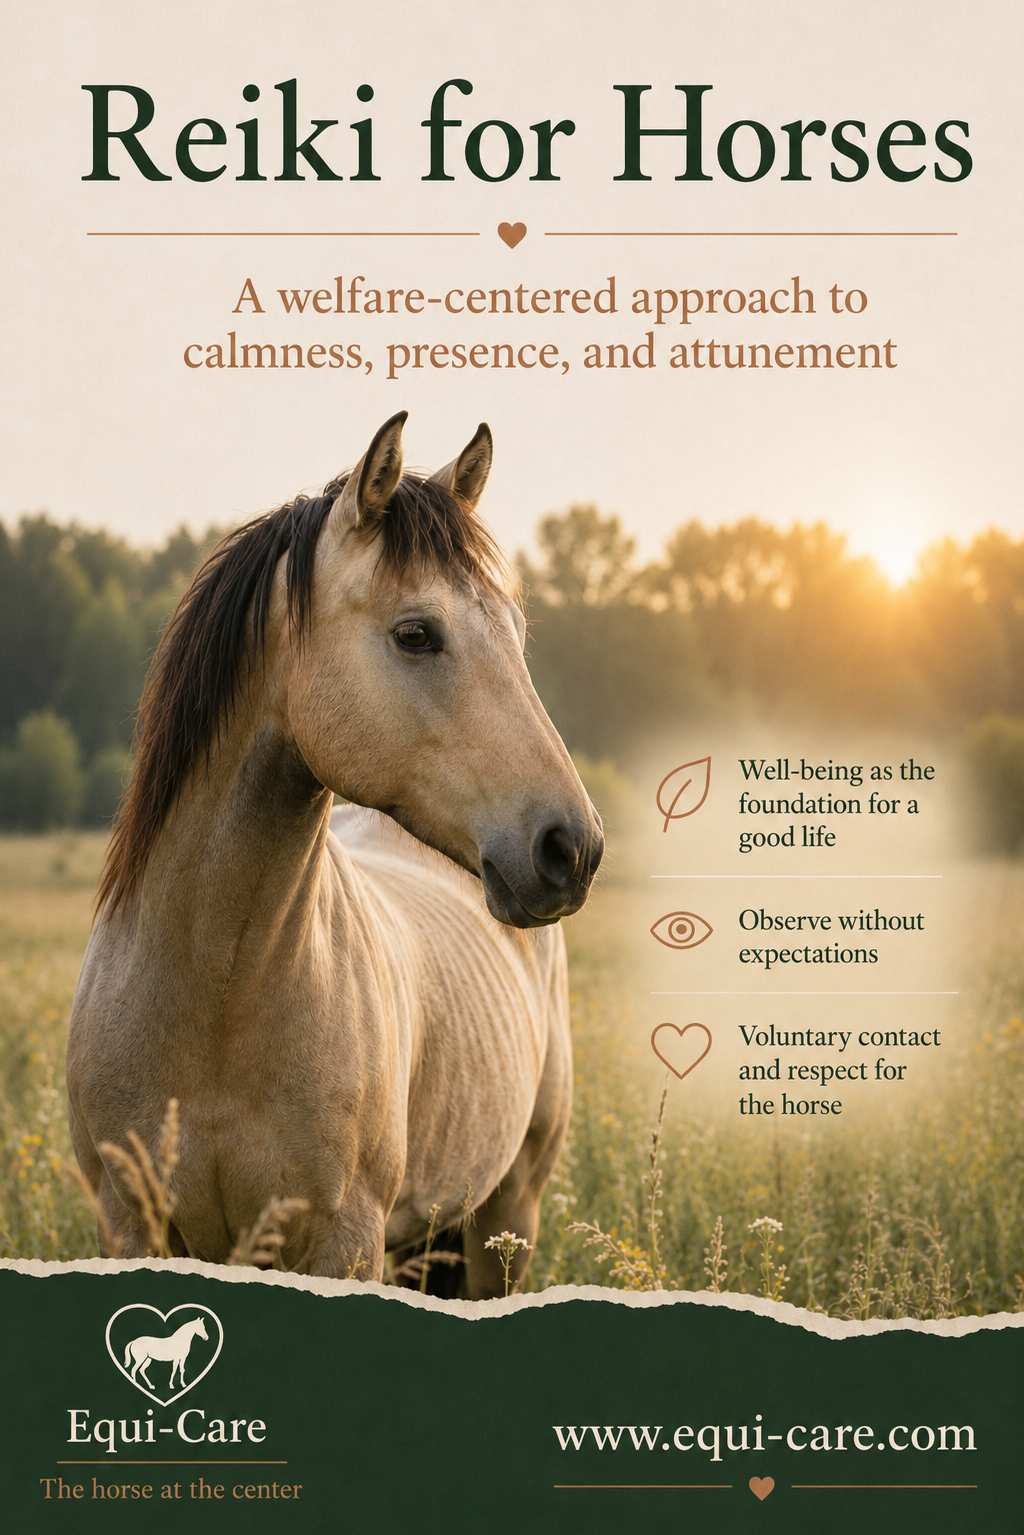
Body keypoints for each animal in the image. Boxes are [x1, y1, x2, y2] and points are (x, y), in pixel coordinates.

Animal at [66, 413, 603, 1298]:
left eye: (517, 633)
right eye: (417, 633)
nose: (572, 847)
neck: (217, 987)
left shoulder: (345, 1238)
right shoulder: (128, 1221)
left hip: (506, 1217)